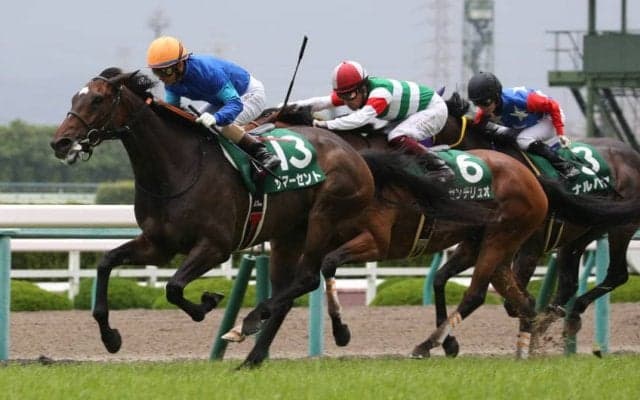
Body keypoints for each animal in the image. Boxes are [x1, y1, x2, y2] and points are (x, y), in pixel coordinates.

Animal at [50, 68, 490, 368]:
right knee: (289, 289)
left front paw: (207, 303)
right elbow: (107, 264)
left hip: (324, 217)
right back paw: (253, 354)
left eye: (97, 101)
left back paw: (247, 325)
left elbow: (174, 288)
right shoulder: (158, 244)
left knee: (307, 278)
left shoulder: (215, 245)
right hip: (287, 235)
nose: (61, 142)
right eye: (75, 97)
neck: (179, 166)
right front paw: (111, 337)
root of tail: (356, 155)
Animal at [246, 105, 551, 359]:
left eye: (264, 120)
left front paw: (338, 330)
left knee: (476, 294)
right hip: (485, 244)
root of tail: (531, 177)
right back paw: (524, 348)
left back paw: (429, 344)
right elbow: (311, 276)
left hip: (500, 238)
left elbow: (326, 265)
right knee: (519, 299)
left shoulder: (377, 241)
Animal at [432, 99, 640, 354]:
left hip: (622, 227)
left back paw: (569, 317)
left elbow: (513, 302)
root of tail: (633, 153)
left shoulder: (531, 247)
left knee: (617, 274)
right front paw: (449, 343)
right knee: (570, 283)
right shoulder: (474, 244)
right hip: (583, 231)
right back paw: (563, 318)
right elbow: (440, 278)